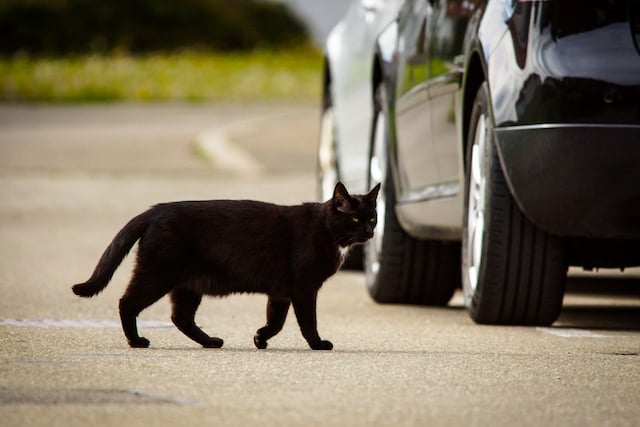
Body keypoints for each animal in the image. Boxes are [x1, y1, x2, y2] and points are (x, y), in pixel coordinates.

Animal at [72, 182, 378, 350]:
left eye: (373, 218)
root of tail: (154, 210)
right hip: (157, 275)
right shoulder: (304, 288)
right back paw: (136, 341)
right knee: (127, 303)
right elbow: (307, 321)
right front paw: (318, 344)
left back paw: (210, 342)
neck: (327, 230)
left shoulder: (280, 292)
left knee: (181, 318)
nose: (370, 232)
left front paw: (260, 338)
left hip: (187, 284)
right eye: (354, 219)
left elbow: (275, 320)